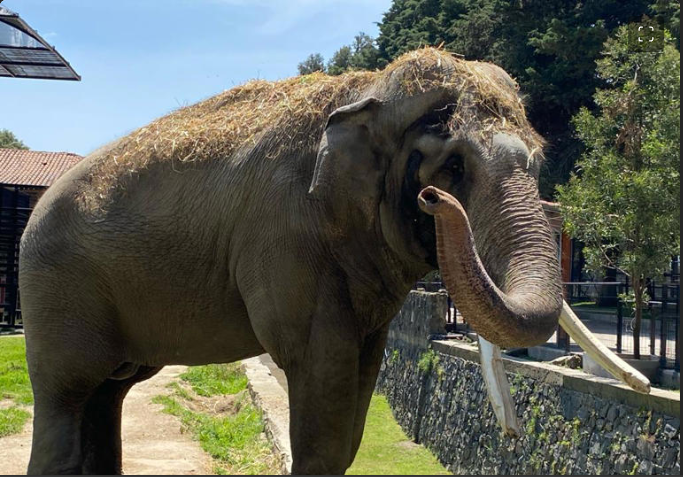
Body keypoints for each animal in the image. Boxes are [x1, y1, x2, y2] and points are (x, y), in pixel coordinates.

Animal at [20, 48, 640, 472]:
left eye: (536, 162)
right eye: (452, 165)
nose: (432, 199)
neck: (364, 89)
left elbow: (356, 396)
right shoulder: (284, 238)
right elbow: (319, 377)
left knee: (109, 392)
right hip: (56, 289)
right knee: (67, 394)